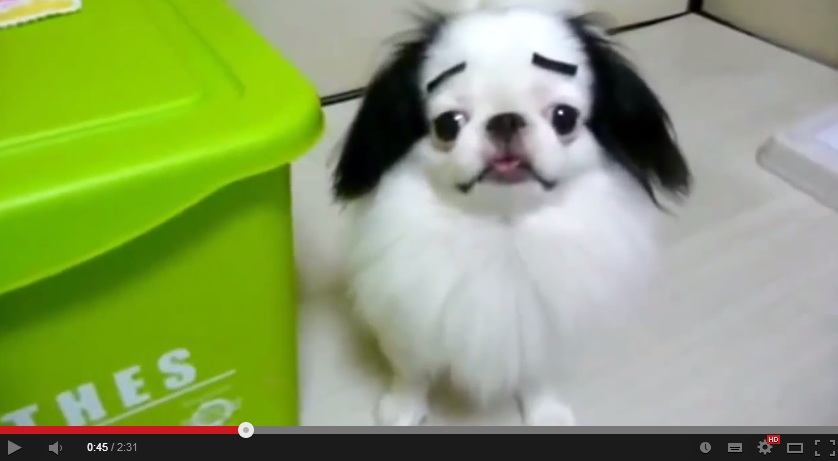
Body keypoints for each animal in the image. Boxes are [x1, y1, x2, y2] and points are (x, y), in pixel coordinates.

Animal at [319, 0, 691, 426]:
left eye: (564, 117)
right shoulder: (409, 320)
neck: (502, 228)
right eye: (448, 125)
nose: (506, 118)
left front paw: (546, 414)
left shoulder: (542, 330)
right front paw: (403, 410)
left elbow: (538, 374)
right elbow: (411, 372)